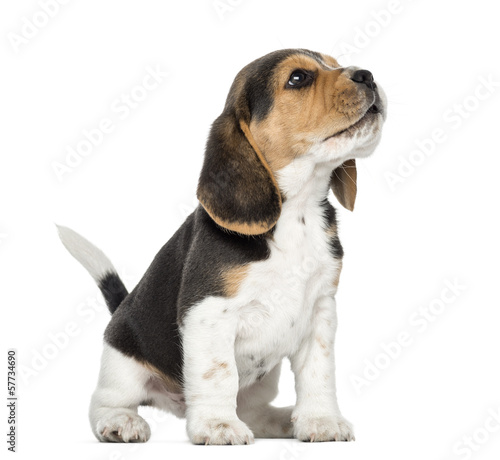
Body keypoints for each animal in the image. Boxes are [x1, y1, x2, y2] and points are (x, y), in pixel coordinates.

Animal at [58, 47, 386, 446]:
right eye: (298, 78)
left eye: (336, 64)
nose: (367, 75)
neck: (298, 211)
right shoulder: (208, 313)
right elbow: (218, 374)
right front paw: (217, 425)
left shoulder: (321, 313)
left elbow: (318, 373)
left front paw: (320, 420)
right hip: (123, 363)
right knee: (103, 402)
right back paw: (121, 423)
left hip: (264, 381)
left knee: (253, 411)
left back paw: (284, 420)